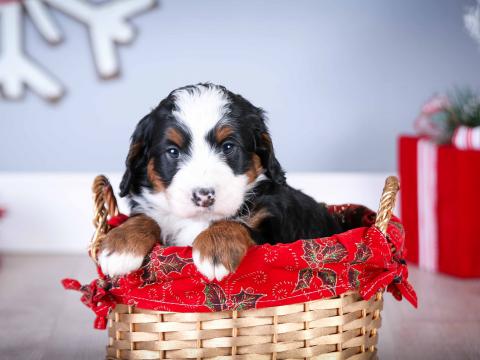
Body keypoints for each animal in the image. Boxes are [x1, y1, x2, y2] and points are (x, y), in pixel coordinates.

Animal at [98, 83, 342, 282]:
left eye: (228, 147)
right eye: (173, 152)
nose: (203, 196)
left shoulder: (277, 231)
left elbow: (238, 223)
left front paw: (216, 247)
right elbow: (146, 218)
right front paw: (121, 245)